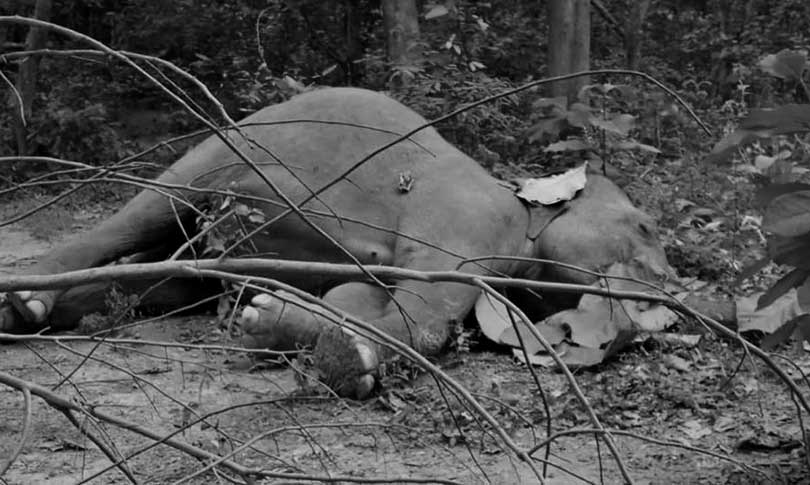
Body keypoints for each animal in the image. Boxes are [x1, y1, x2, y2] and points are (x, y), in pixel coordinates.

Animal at [0, 88, 672, 398]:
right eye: (645, 227)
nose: (667, 293)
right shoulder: (468, 213)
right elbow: (426, 304)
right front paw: (344, 354)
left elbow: (356, 296)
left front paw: (275, 321)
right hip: (225, 145)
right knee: (144, 211)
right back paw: (24, 300)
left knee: (161, 275)